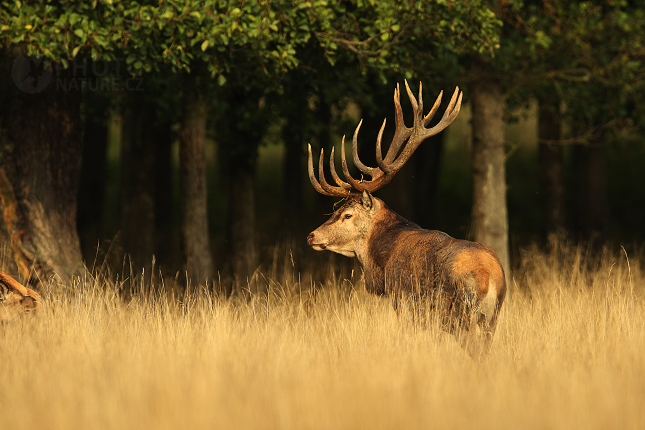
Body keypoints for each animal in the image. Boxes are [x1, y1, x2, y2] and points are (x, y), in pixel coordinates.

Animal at [306, 80, 508, 356]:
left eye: (347, 214)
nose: (311, 235)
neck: (382, 262)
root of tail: (490, 277)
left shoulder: (403, 300)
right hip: (492, 319)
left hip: (459, 314)